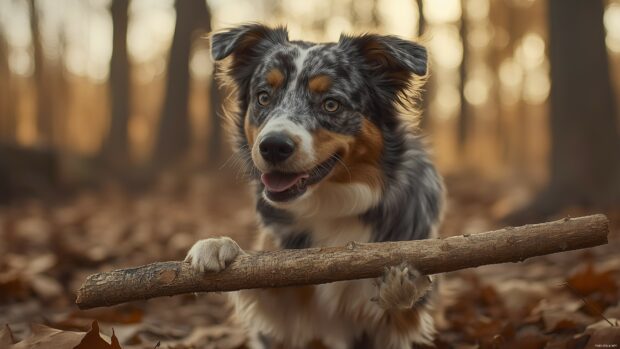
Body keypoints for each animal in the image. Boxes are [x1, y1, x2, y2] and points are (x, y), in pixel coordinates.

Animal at [185, 24, 446, 348]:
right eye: (263, 97)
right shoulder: (284, 308)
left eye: (331, 104)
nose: (273, 147)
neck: (330, 203)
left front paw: (401, 286)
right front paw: (218, 245)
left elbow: (402, 310)